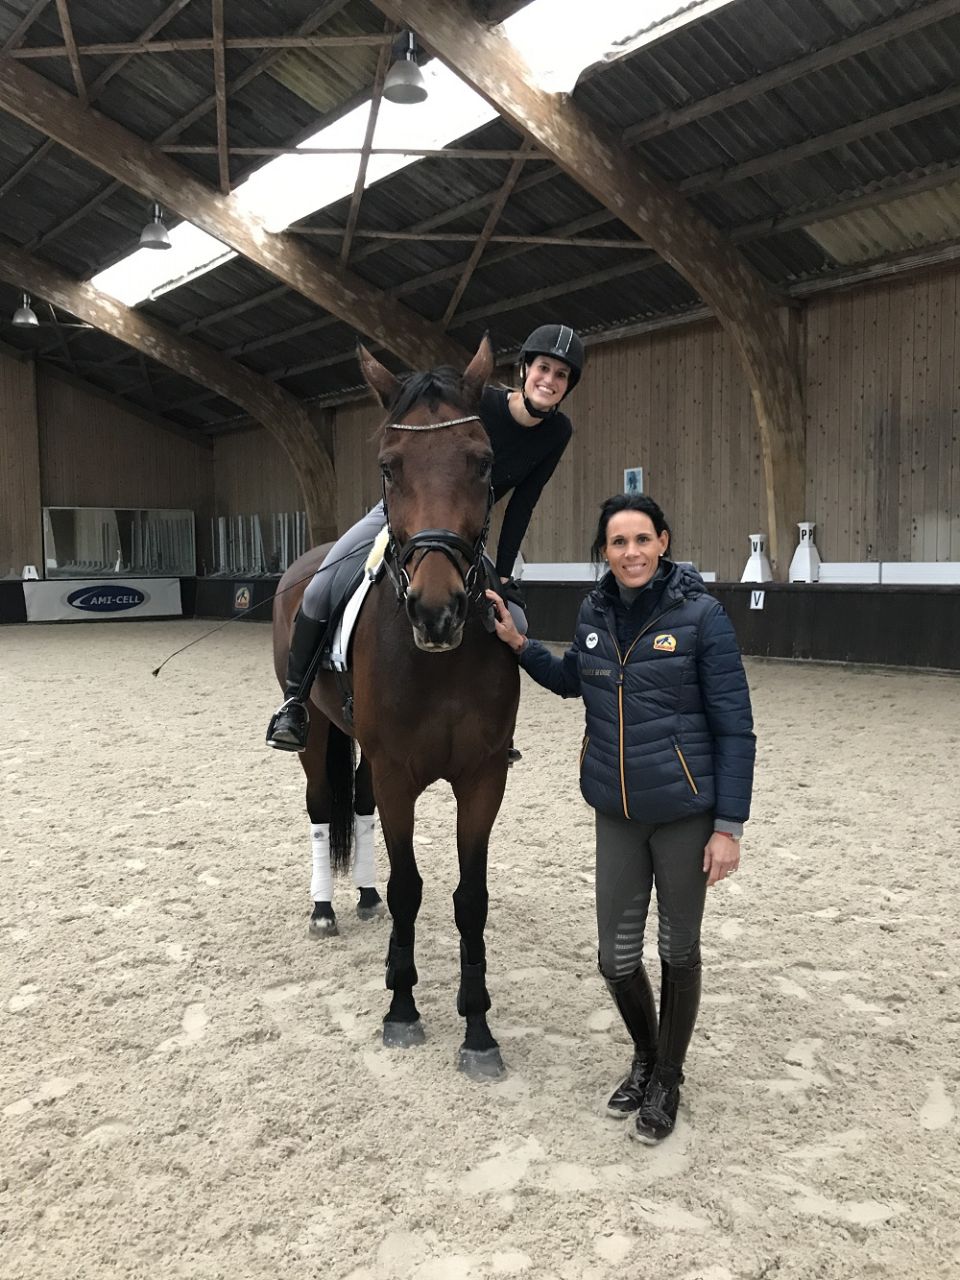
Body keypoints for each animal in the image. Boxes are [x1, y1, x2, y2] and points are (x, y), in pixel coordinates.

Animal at [273, 335, 522, 1075]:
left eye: (483, 460)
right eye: (389, 466)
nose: (437, 612)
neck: (439, 661)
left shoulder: (482, 778)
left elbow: (471, 897)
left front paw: (478, 1028)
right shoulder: (398, 774)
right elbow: (413, 884)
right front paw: (403, 1008)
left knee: (352, 804)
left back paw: (362, 896)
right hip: (317, 733)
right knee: (321, 806)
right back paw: (325, 909)